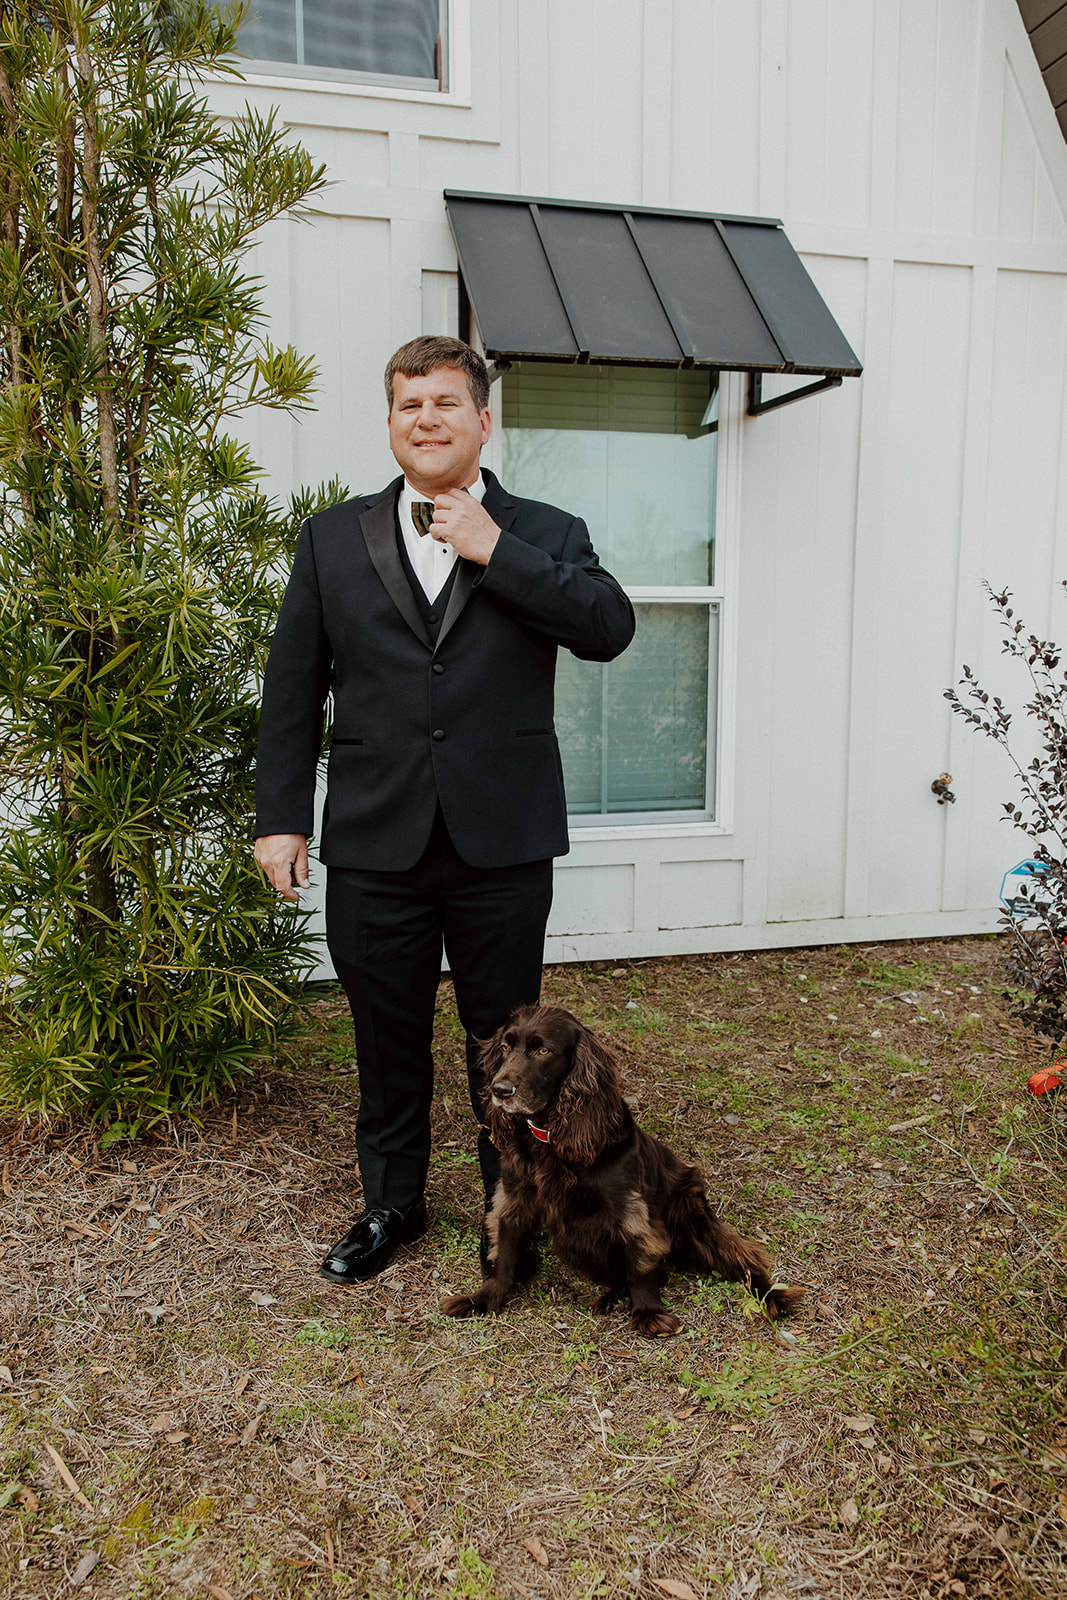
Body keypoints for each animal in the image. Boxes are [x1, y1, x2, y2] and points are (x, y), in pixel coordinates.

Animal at [438, 1011, 806, 1337]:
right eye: (505, 1046)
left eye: (543, 1051)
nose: (500, 1090)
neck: (551, 1136)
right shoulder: (514, 1200)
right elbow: (504, 1255)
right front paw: (483, 1299)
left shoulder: (630, 1211)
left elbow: (639, 1264)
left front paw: (648, 1313)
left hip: (695, 1218)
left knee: (743, 1260)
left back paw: (773, 1295)